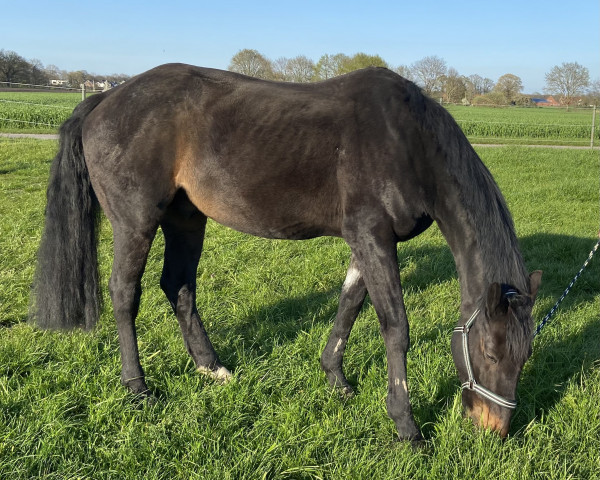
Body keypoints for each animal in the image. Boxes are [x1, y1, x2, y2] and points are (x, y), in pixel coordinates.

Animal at [30, 64, 540, 442]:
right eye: (490, 352)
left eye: (525, 355)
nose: (493, 429)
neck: (407, 143)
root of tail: (104, 101)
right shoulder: (372, 235)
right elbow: (395, 327)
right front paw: (406, 425)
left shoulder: (367, 240)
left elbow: (349, 304)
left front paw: (335, 378)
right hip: (136, 221)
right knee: (124, 293)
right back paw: (137, 387)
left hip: (186, 218)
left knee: (178, 286)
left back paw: (211, 368)